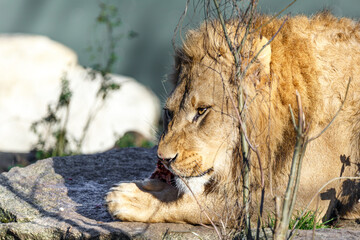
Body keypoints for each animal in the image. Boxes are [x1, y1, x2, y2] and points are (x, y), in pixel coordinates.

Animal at [106, 13, 360, 225]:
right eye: (169, 111)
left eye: (201, 110)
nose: (164, 159)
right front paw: (150, 186)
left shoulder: (306, 200)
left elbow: (218, 203)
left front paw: (132, 199)